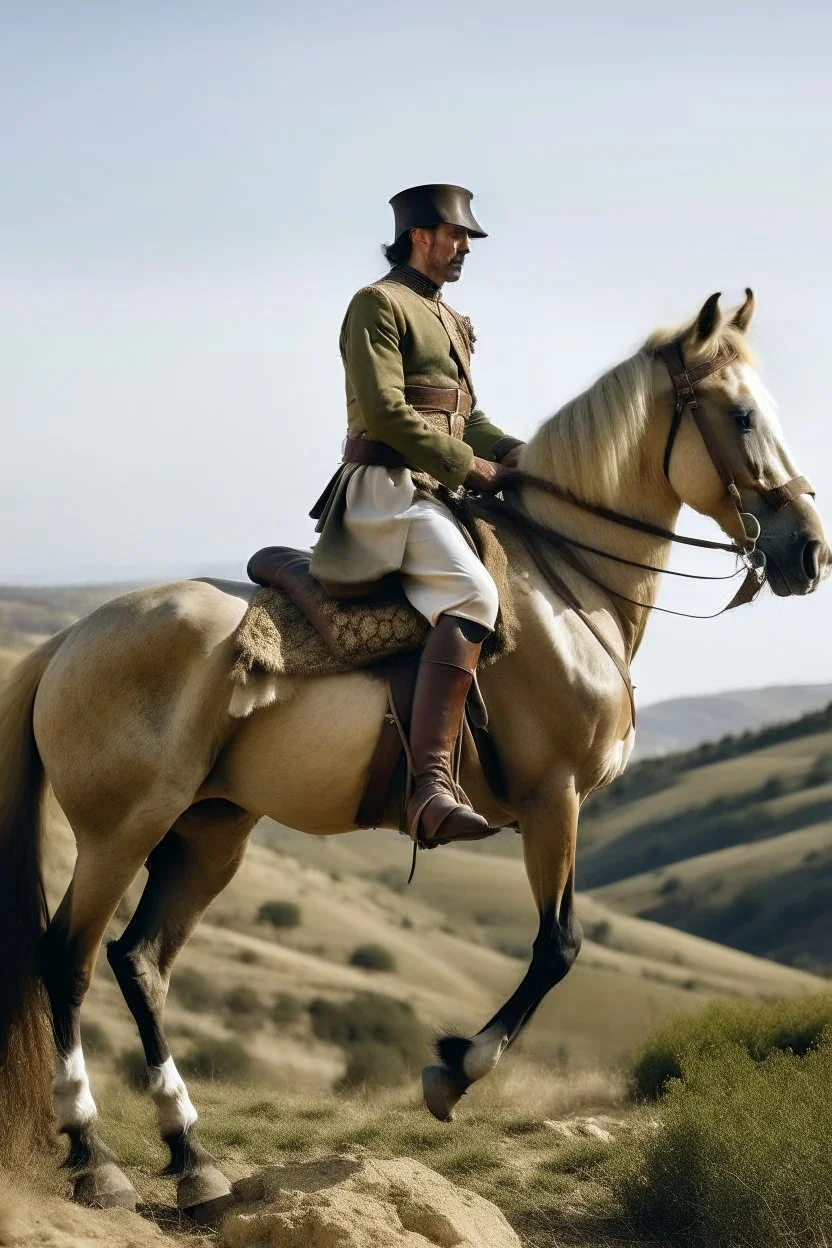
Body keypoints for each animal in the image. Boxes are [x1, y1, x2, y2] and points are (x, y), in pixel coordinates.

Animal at [0, 287, 828, 1213]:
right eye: (742, 415)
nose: (808, 550)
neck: (566, 586)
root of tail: (67, 639)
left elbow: (557, 946)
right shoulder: (553, 800)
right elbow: (560, 946)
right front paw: (456, 1070)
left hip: (210, 832)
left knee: (140, 964)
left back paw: (190, 1155)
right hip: (121, 832)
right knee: (66, 960)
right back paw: (93, 1153)